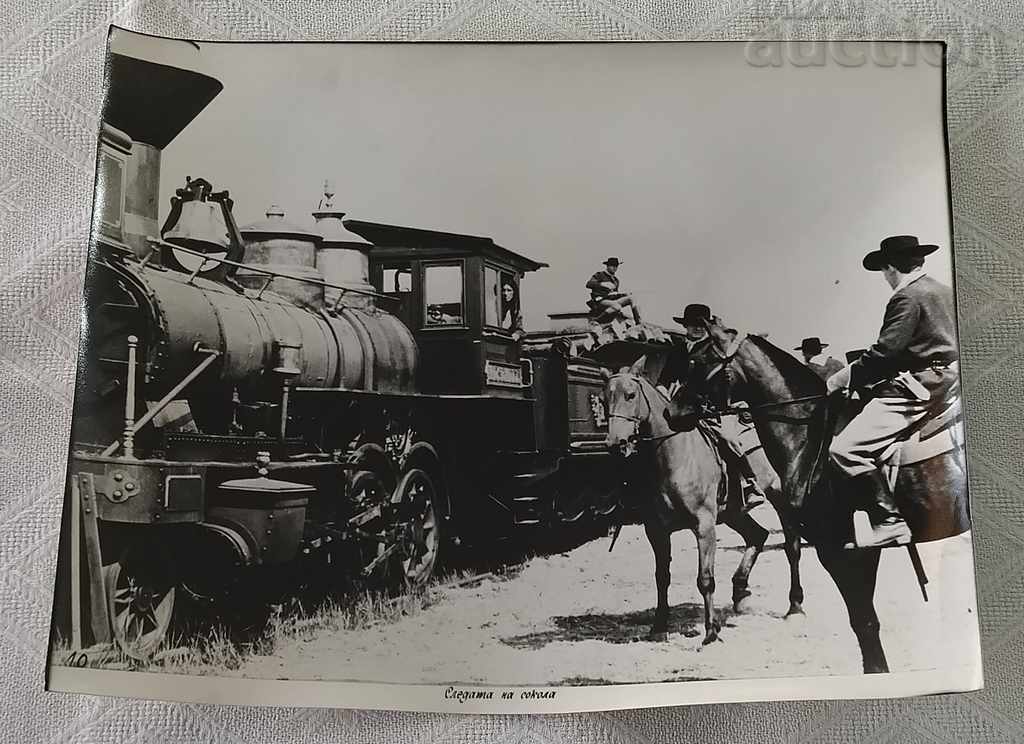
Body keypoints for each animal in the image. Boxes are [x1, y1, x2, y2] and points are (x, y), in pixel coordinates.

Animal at [602, 360, 802, 646]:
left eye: (630, 395)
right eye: (604, 399)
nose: (615, 443)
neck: (674, 456)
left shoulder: (704, 526)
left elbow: (705, 579)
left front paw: (710, 632)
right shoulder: (656, 530)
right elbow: (662, 578)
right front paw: (659, 628)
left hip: (779, 497)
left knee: (792, 547)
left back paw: (795, 606)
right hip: (733, 513)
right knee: (758, 535)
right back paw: (740, 592)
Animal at [675, 319, 970, 675]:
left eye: (699, 360)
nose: (672, 410)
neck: (811, 434)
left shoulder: (838, 549)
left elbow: (864, 623)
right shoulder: (858, 551)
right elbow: (865, 621)